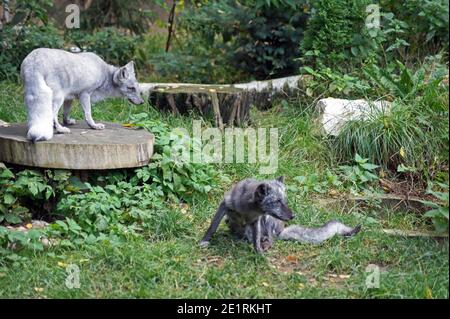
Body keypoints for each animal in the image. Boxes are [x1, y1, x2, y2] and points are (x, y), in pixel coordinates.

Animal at [200, 176, 362, 254]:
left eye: (284, 201)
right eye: (277, 202)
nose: (293, 216)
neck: (248, 210)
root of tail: (282, 230)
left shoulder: (256, 220)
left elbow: (256, 241)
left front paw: (259, 253)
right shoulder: (224, 205)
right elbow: (212, 227)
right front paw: (204, 241)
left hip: (267, 221)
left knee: (270, 239)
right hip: (230, 221)